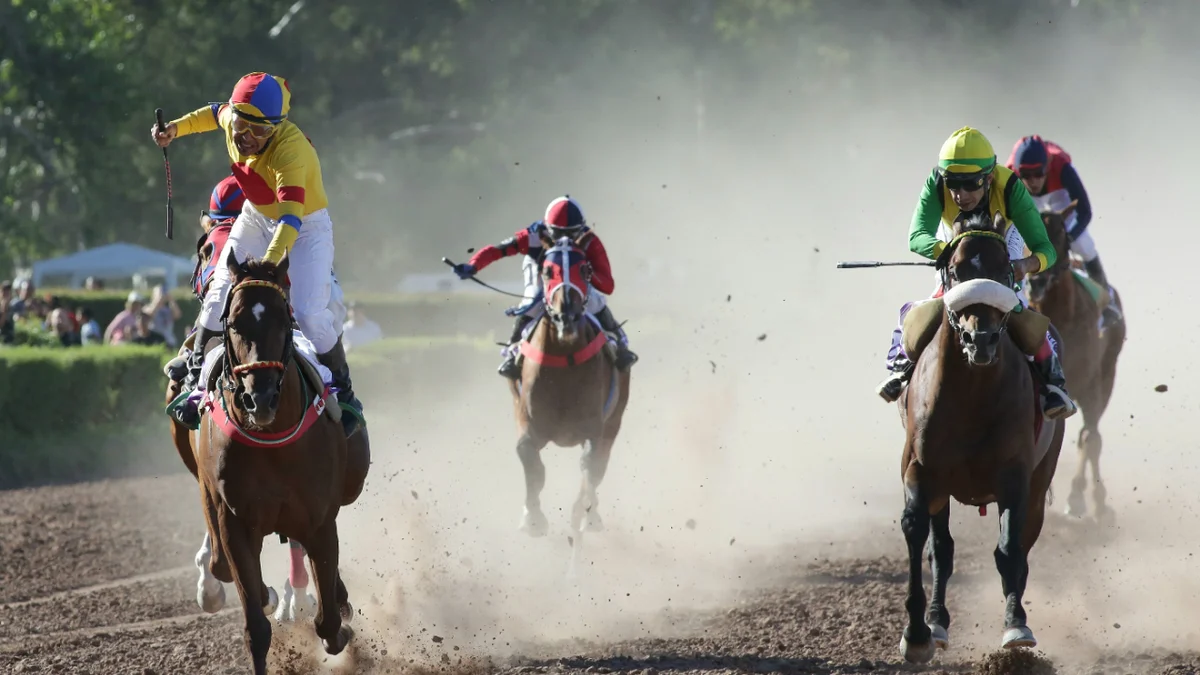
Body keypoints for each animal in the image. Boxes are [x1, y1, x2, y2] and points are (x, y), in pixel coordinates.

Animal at [192, 254, 368, 674]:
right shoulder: (234, 522)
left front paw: (337, 623)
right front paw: (267, 600)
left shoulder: (319, 519)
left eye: (282, 321)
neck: (272, 441)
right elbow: (255, 627)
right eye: (234, 322)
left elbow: (328, 624)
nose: (260, 398)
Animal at [510, 232, 630, 570]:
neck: (564, 359)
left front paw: (584, 518)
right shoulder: (528, 423)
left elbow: (589, 471)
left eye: (585, 269)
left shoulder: (593, 430)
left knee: (599, 467)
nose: (568, 315)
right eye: (546, 270)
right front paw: (533, 519)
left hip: (614, 421)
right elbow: (531, 463)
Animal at [894, 210, 1066, 662]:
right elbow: (918, 533)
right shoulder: (922, 469)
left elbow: (1009, 551)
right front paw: (917, 632)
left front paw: (1016, 626)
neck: (971, 393)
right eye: (955, 271)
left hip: (1041, 479)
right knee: (943, 549)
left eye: (1005, 270)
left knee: (1022, 546)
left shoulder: (1015, 475)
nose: (981, 340)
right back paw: (937, 621)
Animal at [1026, 201, 1125, 523]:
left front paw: (1081, 498)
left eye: (1061, 235)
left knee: (1090, 436)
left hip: (1107, 374)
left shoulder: (1091, 385)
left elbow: (1089, 437)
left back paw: (1092, 498)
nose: (1036, 281)